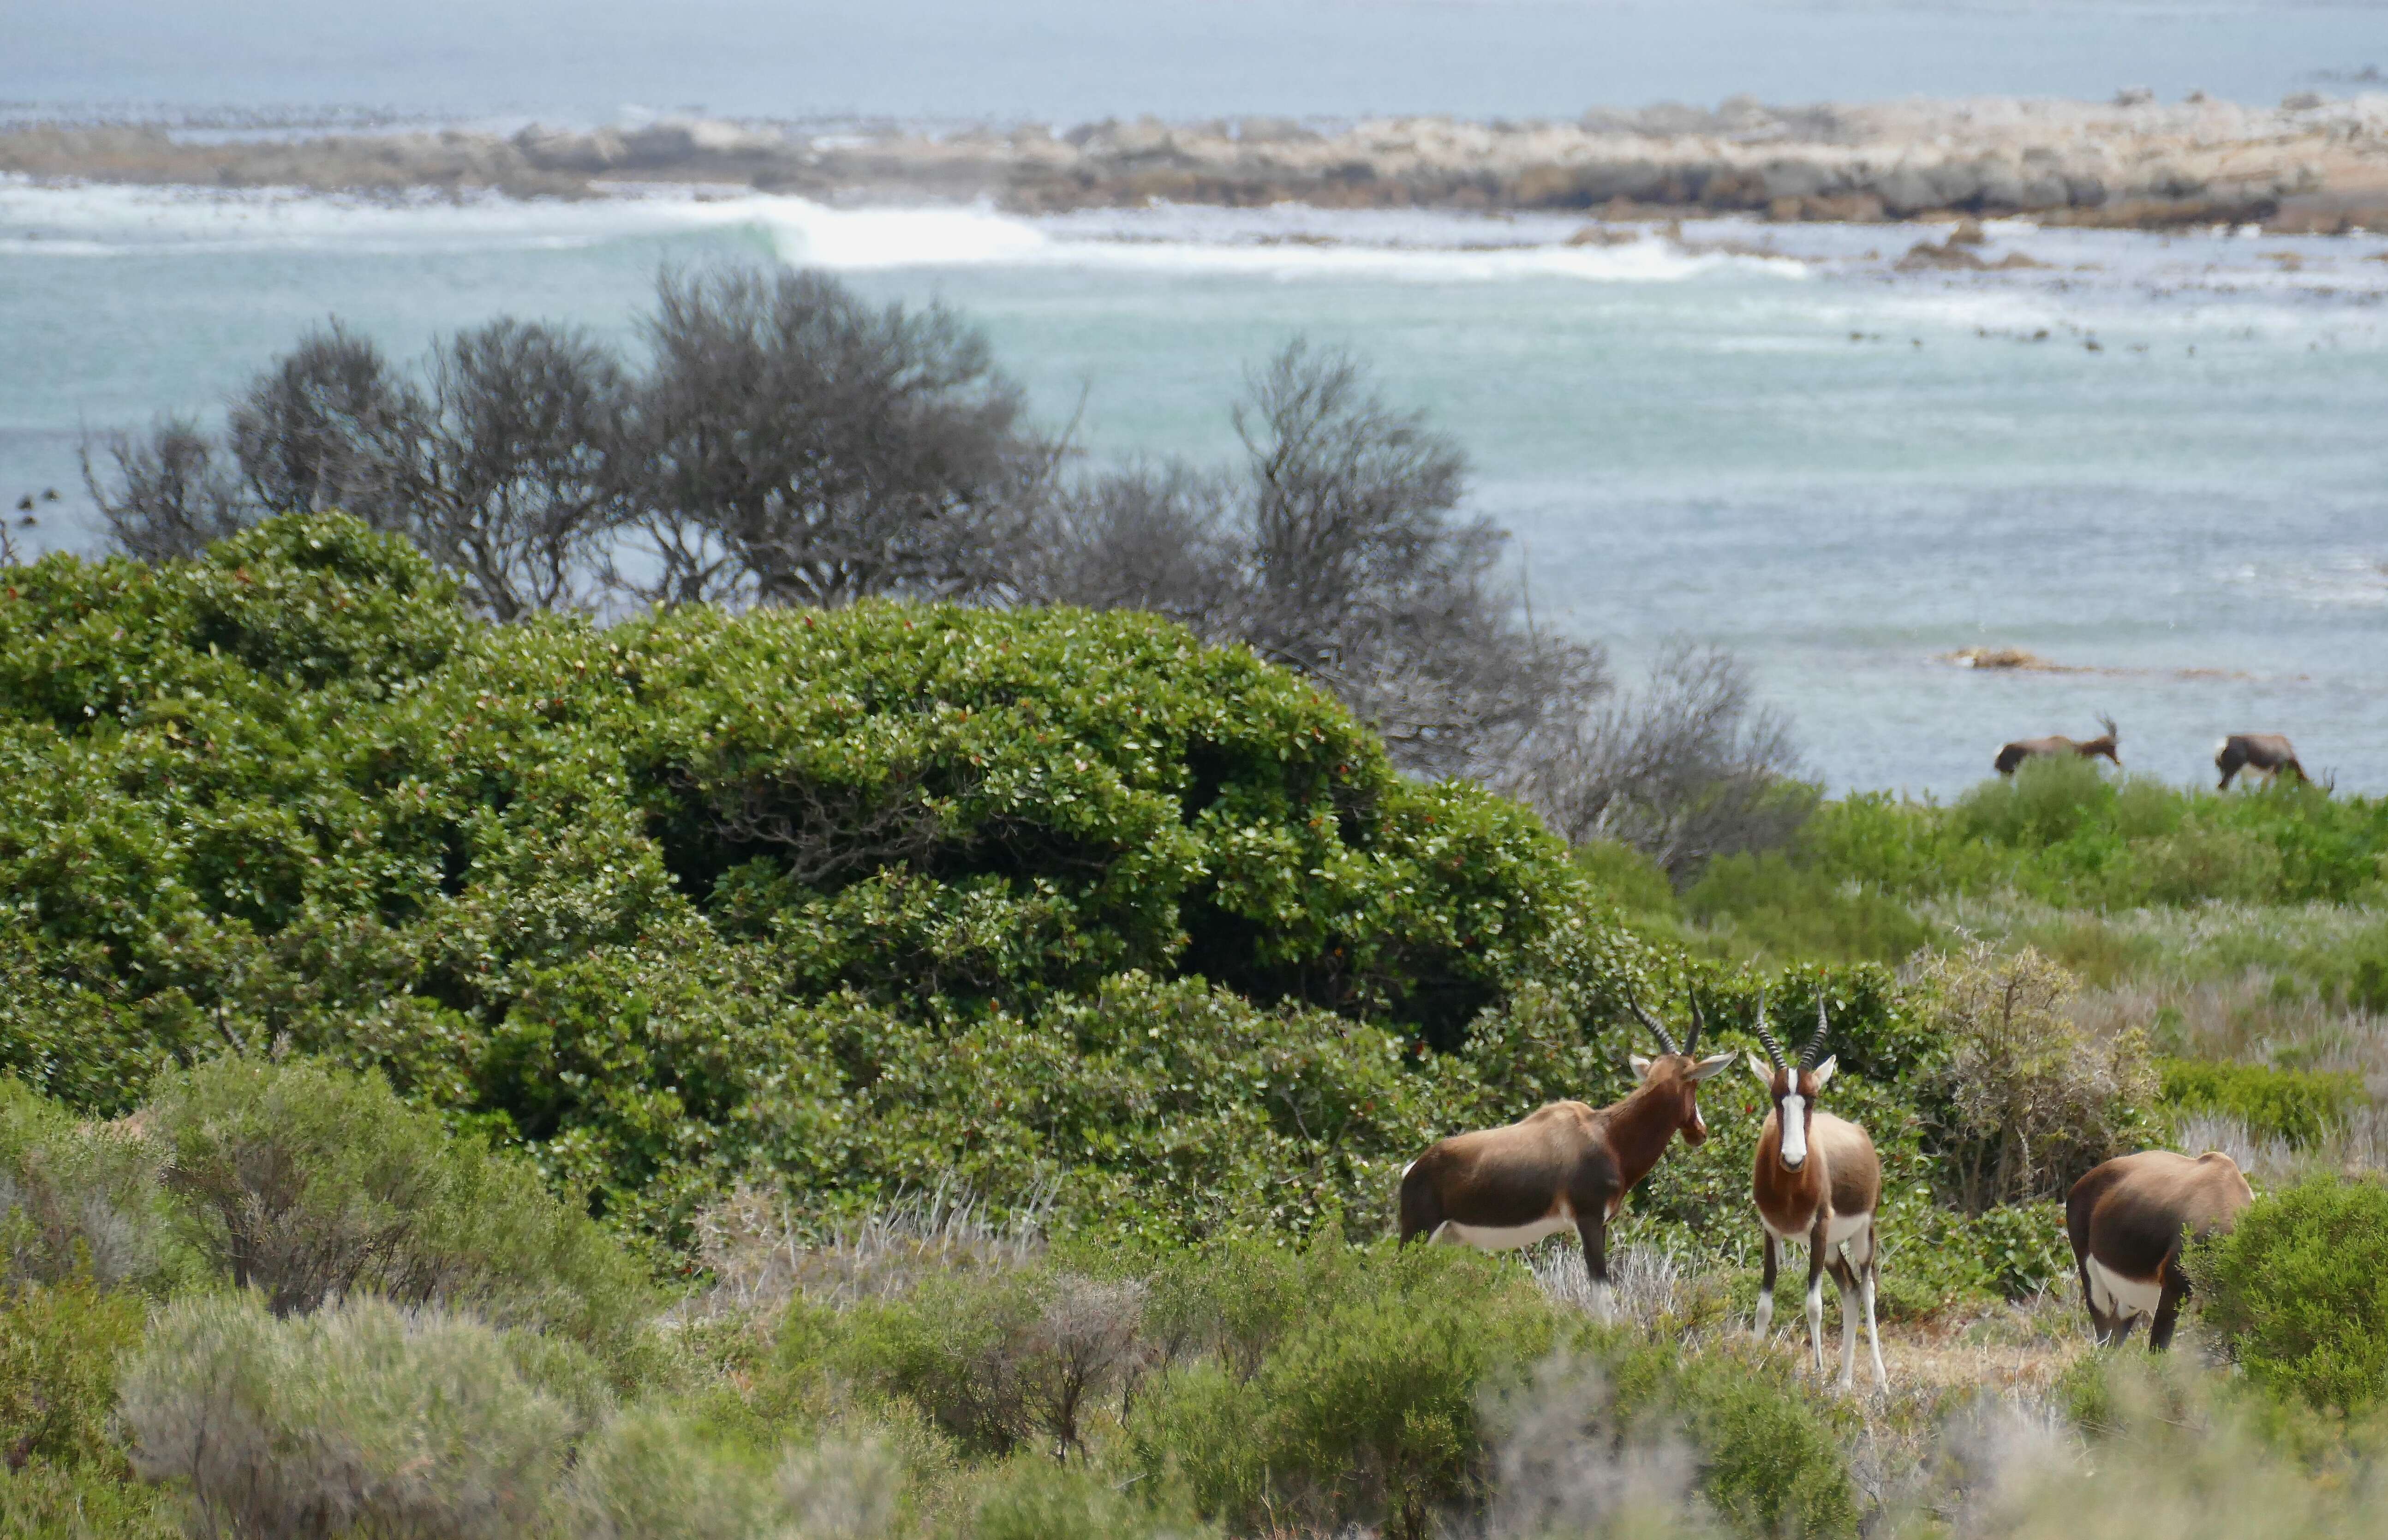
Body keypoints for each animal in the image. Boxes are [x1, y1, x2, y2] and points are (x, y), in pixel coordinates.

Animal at [1394, 993, 1729, 1318]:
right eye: (1695, 1082)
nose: (1700, 1132)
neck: (1605, 1135)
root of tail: (1414, 1168)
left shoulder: (1602, 1224)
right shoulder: (1588, 1219)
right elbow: (1603, 1300)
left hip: (1447, 1239)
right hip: (1418, 1233)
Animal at [1748, 993, 1891, 1385]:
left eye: (1810, 1098)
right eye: (1776, 1096)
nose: (1794, 1159)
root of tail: (1861, 1134)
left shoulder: (1819, 1227)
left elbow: (1813, 1304)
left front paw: (1817, 1369)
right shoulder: (1770, 1230)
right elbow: (1764, 1305)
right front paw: (1750, 1361)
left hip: (1860, 1234)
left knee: (1867, 1286)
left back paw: (1879, 1380)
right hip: (1829, 1248)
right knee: (1850, 1290)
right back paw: (1843, 1383)